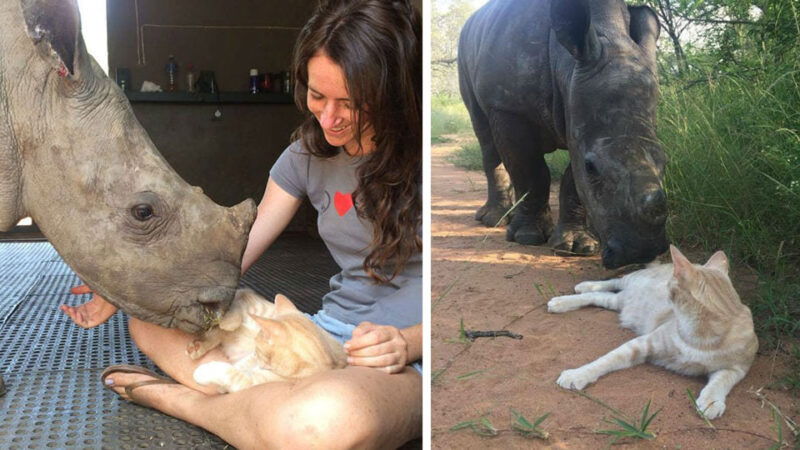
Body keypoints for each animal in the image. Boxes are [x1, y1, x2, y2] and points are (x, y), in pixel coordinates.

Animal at [189, 290, 352, 392]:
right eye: (258, 351)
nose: (261, 365)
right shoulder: (253, 357)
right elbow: (241, 365)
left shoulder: (253, 381)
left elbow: (232, 372)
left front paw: (205, 373)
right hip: (256, 306)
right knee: (237, 302)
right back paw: (227, 323)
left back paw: (198, 345)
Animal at [548, 246, 760, 418]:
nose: (664, 286)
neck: (700, 335)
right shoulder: (639, 345)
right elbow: (604, 361)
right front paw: (577, 374)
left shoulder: (737, 368)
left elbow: (721, 382)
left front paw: (711, 401)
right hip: (631, 281)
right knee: (614, 281)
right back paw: (575, 291)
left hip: (618, 302)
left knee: (599, 296)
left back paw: (567, 299)